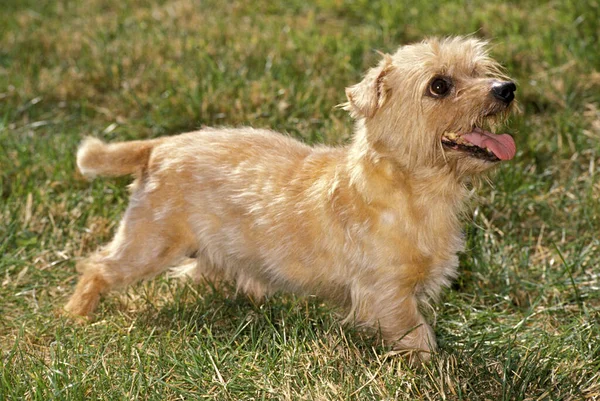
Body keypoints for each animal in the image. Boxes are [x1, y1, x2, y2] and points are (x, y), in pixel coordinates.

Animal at [64, 36, 516, 360]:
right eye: (439, 85)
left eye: (479, 70)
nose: (507, 88)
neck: (414, 191)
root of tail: (159, 146)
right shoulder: (387, 294)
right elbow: (418, 336)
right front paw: (435, 368)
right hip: (149, 242)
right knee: (98, 266)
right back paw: (75, 315)